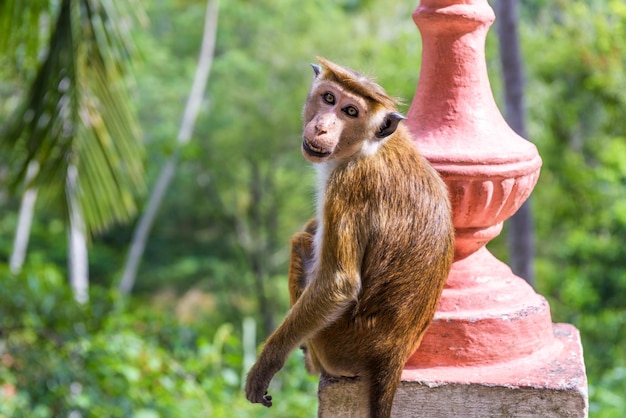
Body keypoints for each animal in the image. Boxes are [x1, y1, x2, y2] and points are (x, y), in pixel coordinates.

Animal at [241, 56, 450, 418]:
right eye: (329, 98)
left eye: (350, 111)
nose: (322, 127)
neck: (370, 146)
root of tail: (392, 354)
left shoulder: (348, 186)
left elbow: (337, 283)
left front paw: (267, 363)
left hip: (337, 346)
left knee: (300, 245)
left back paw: (311, 361)